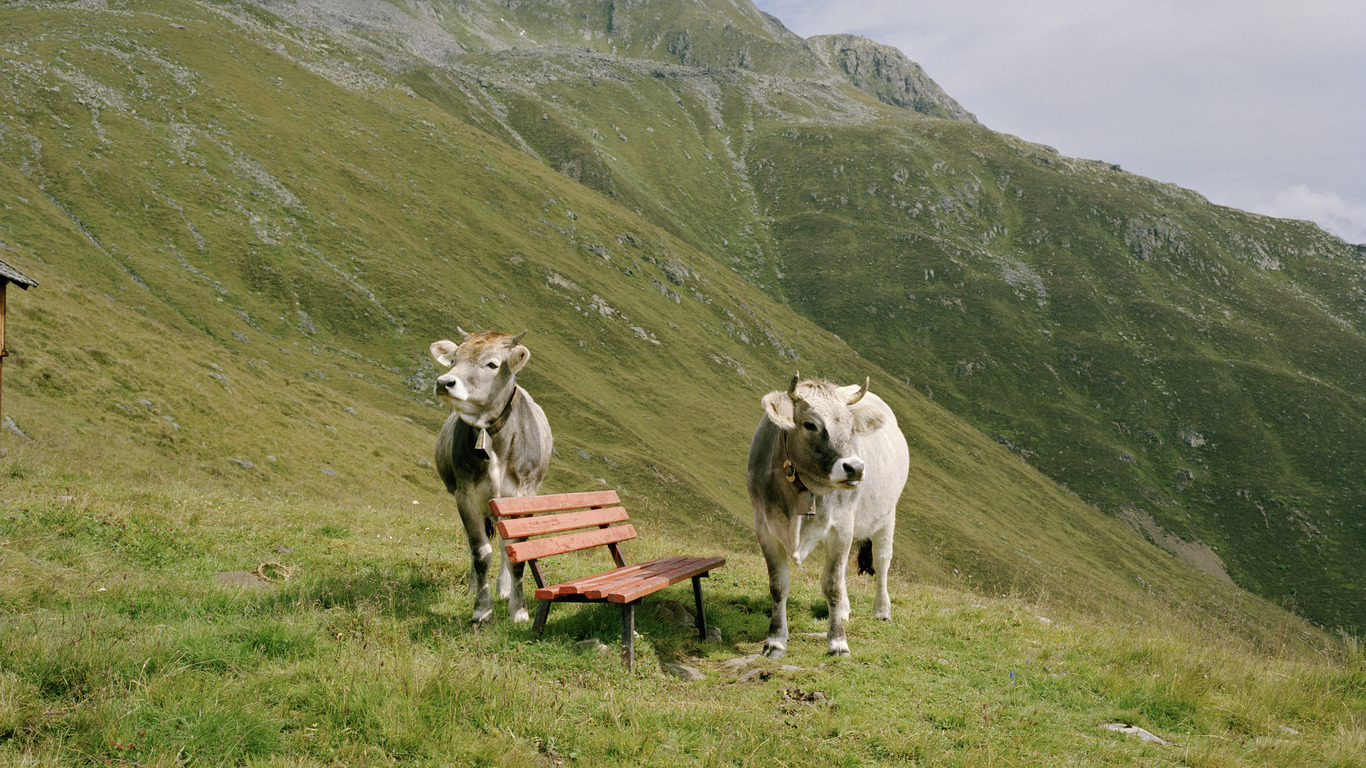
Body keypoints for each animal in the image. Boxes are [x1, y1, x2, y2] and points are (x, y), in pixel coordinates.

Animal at [428, 327, 551, 623]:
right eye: (453, 360)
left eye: (492, 364)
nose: (444, 382)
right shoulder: (466, 497)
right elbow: (480, 553)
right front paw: (481, 609)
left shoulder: (522, 497)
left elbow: (517, 555)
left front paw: (519, 610)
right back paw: (475, 586)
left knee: (507, 547)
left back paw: (504, 590)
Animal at [748, 374, 907, 655]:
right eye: (810, 424)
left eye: (852, 427)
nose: (855, 468)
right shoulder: (764, 526)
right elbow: (778, 585)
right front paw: (775, 640)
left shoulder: (842, 525)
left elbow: (831, 585)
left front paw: (838, 642)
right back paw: (843, 611)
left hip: (887, 514)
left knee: (882, 560)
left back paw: (882, 610)